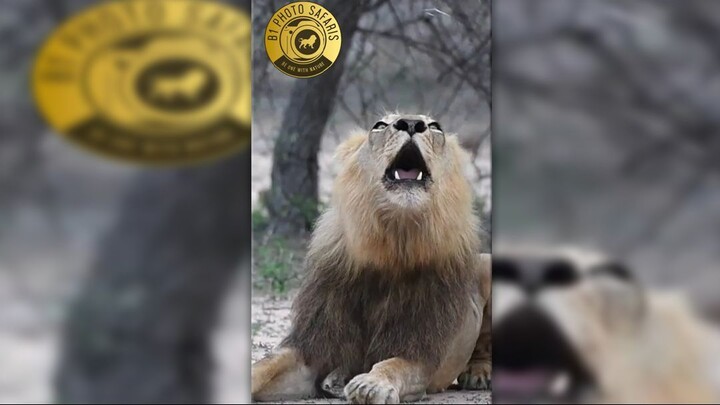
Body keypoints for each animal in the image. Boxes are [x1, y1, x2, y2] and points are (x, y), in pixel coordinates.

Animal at [250, 112, 492, 402]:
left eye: (435, 127)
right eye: (380, 125)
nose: (412, 123)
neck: (392, 243)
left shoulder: (419, 352)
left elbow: (393, 364)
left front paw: (370, 384)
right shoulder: (315, 345)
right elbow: (266, 364)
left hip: (487, 264)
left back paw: (478, 373)